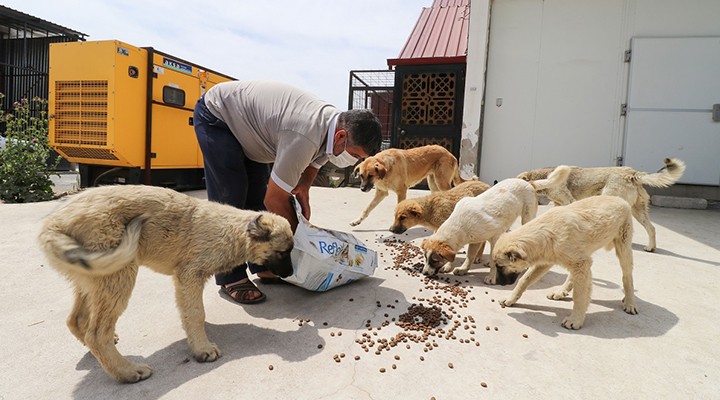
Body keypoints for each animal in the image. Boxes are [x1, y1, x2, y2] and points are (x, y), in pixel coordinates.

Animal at [35, 186, 296, 382]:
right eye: (284, 253)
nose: (291, 273)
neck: (233, 231)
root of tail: (53, 225)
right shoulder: (190, 275)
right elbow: (196, 313)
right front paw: (202, 348)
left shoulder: (184, 281)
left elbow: (189, 312)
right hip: (119, 274)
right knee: (97, 334)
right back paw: (128, 372)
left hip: (92, 279)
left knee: (76, 320)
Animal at [422, 166, 568, 284]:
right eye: (425, 257)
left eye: (434, 260)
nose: (424, 273)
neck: (459, 225)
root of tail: (528, 182)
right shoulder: (475, 240)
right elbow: (470, 256)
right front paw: (464, 269)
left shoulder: (495, 237)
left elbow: (492, 260)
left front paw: (492, 277)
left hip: (527, 216)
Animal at [492, 195, 640, 330]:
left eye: (500, 266)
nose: (498, 283)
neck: (547, 233)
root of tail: (620, 198)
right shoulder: (546, 263)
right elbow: (524, 280)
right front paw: (510, 298)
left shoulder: (580, 263)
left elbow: (579, 295)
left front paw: (575, 320)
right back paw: (560, 291)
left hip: (623, 249)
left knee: (627, 276)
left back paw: (629, 302)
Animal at [516, 158, 688, 252]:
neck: (546, 176)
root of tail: (632, 173)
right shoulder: (558, 204)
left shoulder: (567, 201)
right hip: (638, 210)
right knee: (651, 228)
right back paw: (651, 247)